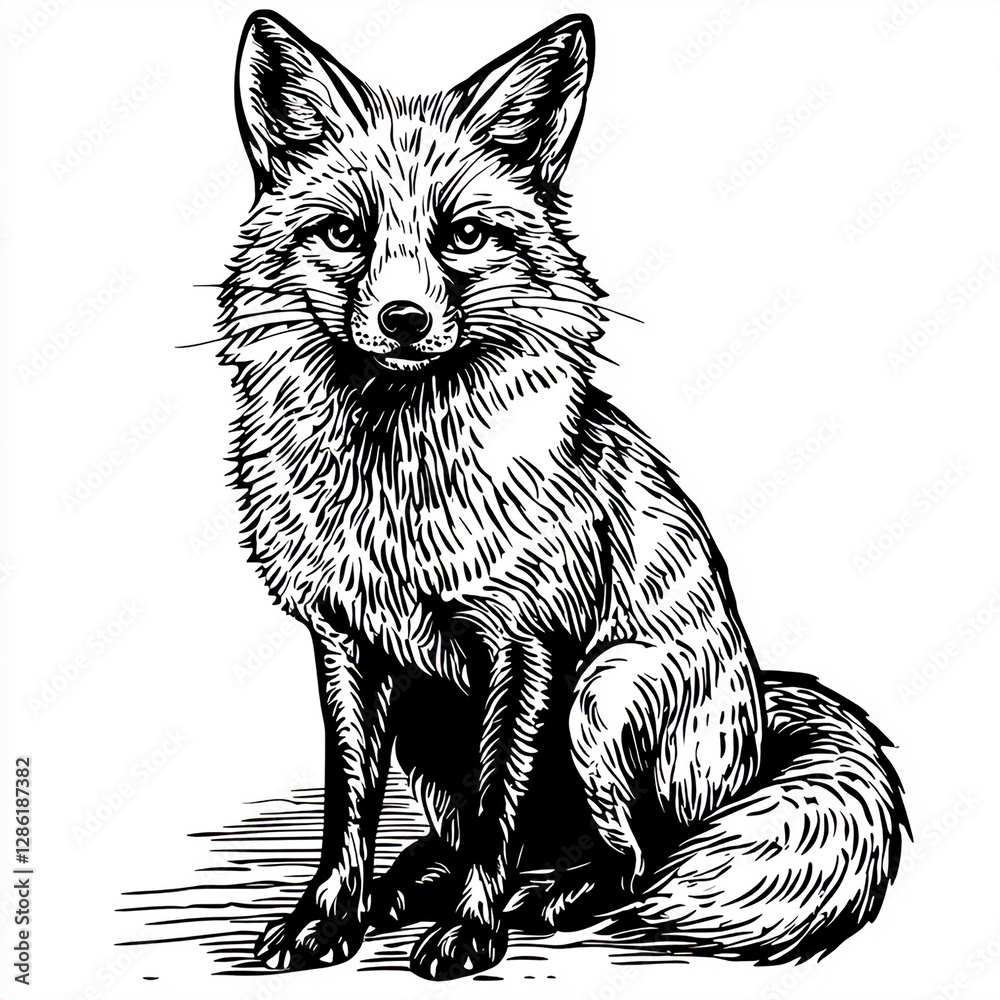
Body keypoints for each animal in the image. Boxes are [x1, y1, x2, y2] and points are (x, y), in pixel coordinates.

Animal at [217, 9, 908, 981]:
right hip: (433, 723)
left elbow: (499, 803)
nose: (403, 320)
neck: (401, 486)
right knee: (488, 836)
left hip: (599, 699)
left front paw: (473, 931)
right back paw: (416, 880)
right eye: (345, 234)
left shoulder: (528, 647)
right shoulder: (346, 643)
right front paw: (329, 915)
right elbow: (350, 803)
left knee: (635, 857)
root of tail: (760, 729)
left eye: (464, 236)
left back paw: (556, 896)